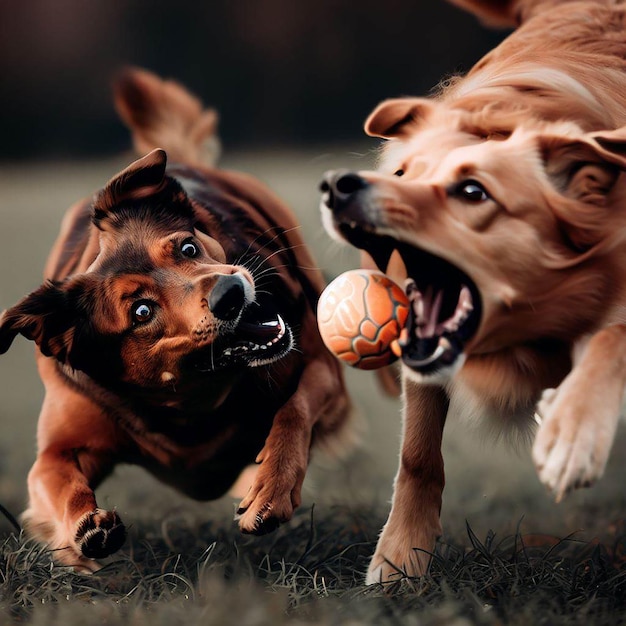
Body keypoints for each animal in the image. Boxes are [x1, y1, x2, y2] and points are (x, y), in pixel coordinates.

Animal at [1, 68, 352, 572]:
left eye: (188, 247)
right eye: (141, 311)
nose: (231, 293)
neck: (190, 400)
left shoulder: (321, 367)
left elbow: (294, 409)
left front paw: (270, 488)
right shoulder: (62, 441)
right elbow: (55, 477)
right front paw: (84, 529)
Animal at [320, 0, 624, 584]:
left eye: (471, 191)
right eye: (401, 172)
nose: (337, 186)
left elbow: (611, 339)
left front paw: (573, 435)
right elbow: (418, 456)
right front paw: (399, 561)